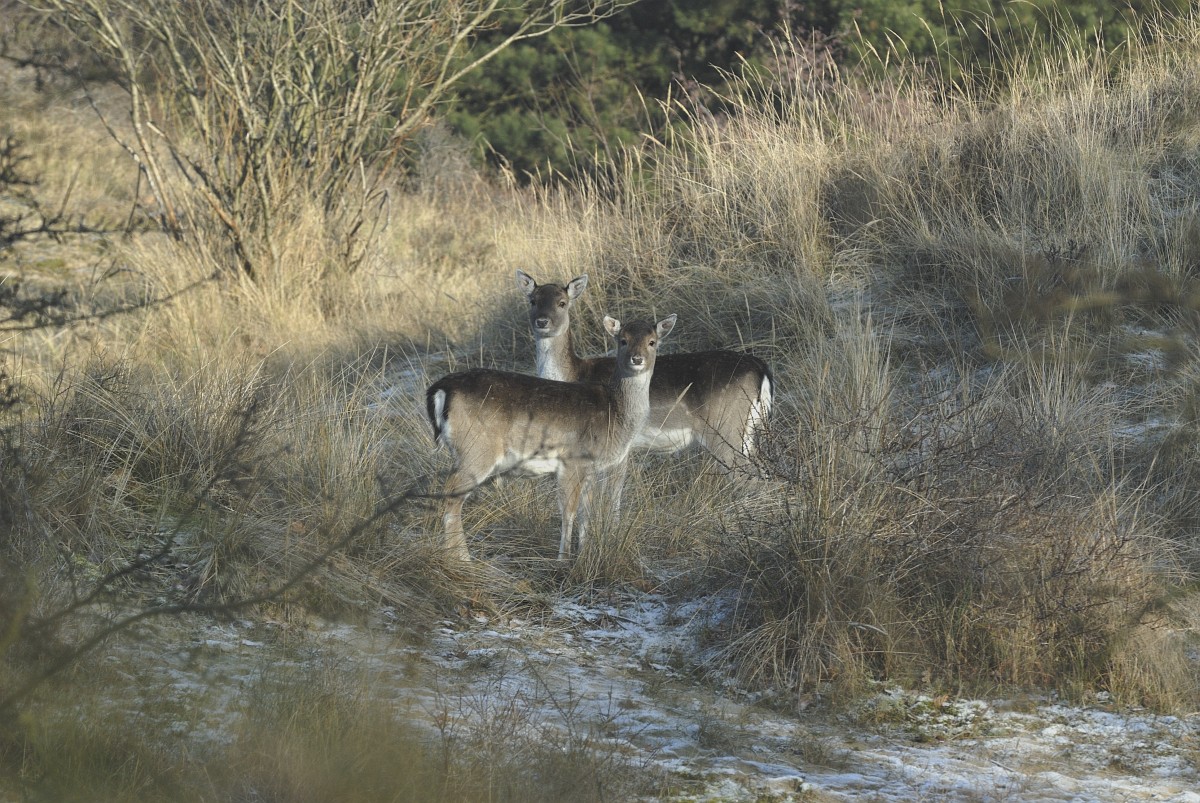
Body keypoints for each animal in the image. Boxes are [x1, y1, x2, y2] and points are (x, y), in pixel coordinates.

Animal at [426, 314, 676, 562]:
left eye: (652, 342)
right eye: (623, 340)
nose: (637, 359)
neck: (615, 414)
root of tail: (441, 388)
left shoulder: (590, 469)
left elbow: (586, 512)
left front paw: (583, 553)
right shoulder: (572, 460)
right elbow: (568, 511)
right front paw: (563, 559)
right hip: (477, 450)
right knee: (451, 495)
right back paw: (461, 558)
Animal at [516, 270, 773, 492]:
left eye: (562, 302)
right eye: (533, 301)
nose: (542, 322)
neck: (574, 374)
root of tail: (761, 369)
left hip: (725, 430)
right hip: (749, 432)